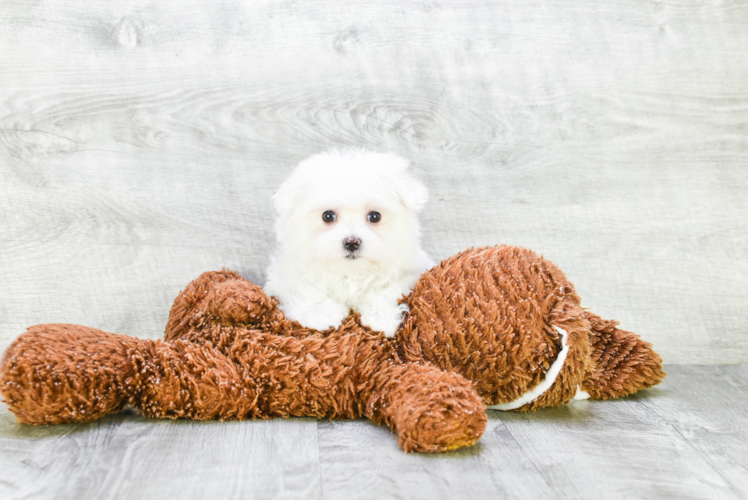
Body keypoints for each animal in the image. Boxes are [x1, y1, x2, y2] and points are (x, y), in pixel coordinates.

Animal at [266, 147, 436, 336]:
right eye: (328, 216)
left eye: (375, 216)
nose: (352, 242)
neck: (350, 272)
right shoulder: (285, 275)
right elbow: (304, 289)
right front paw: (319, 313)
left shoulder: (413, 272)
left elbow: (387, 289)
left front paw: (381, 318)